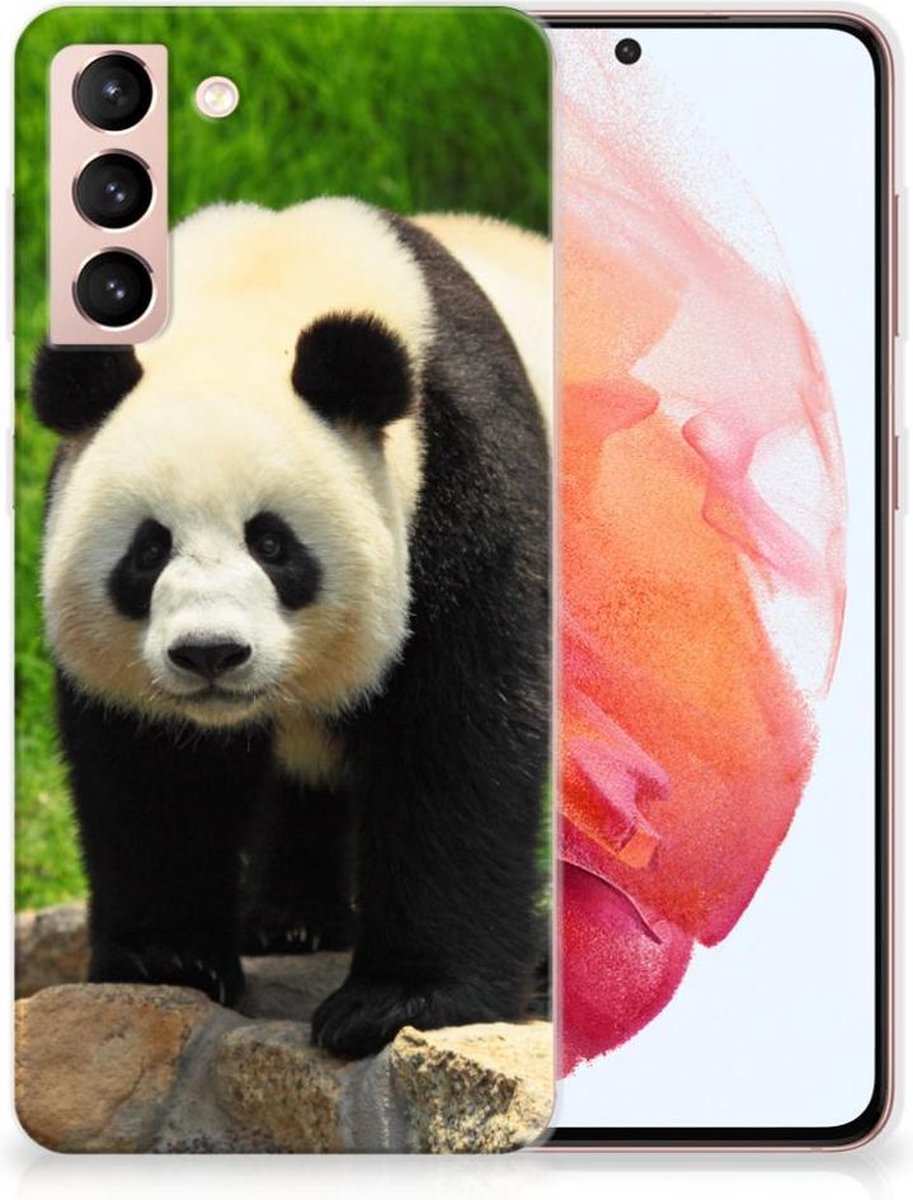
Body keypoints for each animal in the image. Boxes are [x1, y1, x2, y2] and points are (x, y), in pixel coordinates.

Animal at [31, 198, 551, 1059]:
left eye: (272, 544)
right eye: (148, 550)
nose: (210, 653)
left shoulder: (463, 480)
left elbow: (458, 737)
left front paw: (398, 1001)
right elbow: (152, 767)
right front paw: (167, 959)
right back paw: (291, 920)